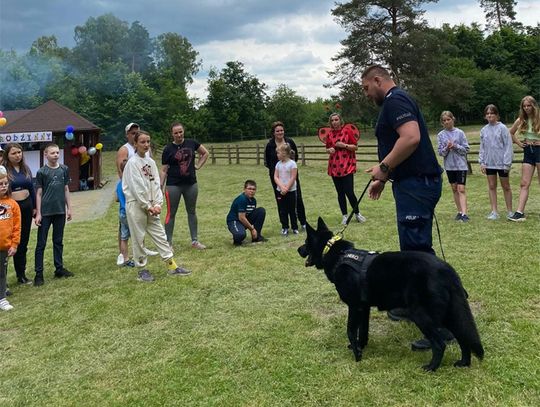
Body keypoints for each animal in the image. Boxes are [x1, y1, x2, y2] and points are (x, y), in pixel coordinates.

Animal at [298, 220, 484, 372]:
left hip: (421, 315)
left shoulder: (354, 307)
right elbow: (363, 331)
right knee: (463, 338)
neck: (335, 253)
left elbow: (350, 331)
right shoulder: (364, 308)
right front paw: (361, 347)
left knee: (440, 344)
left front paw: (357, 357)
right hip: (449, 314)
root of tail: (447, 270)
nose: (298, 249)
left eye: (306, 242)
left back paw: (432, 367)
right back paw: (464, 363)